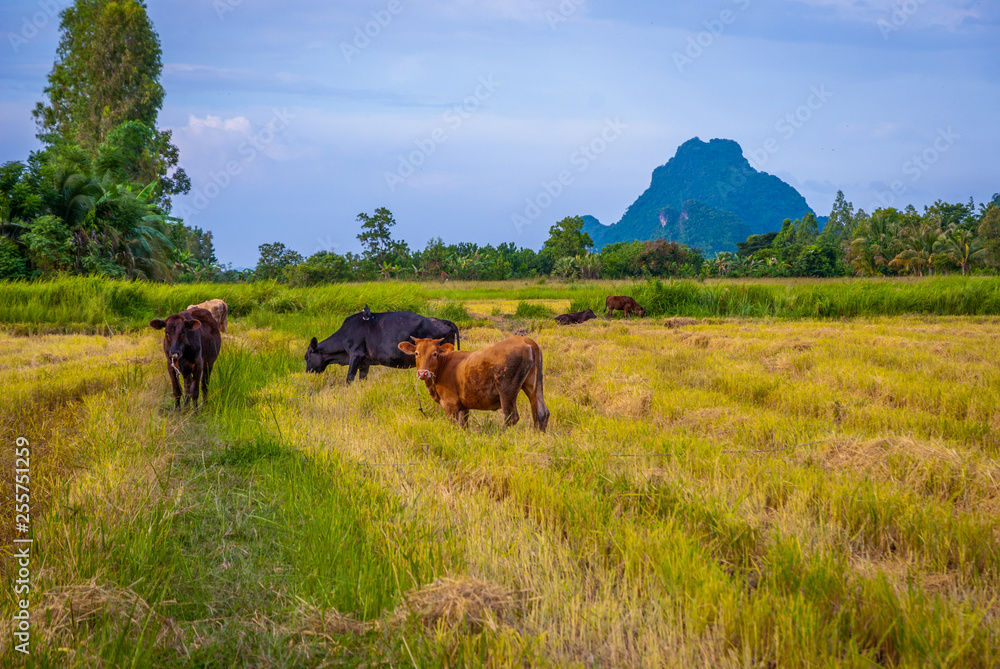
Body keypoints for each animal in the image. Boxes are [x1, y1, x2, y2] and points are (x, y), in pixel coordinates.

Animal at [304, 306, 460, 384]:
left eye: (307, 357)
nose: (307, 372)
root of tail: (442, 321)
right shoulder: (364, 362)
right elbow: (362, 379)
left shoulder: (355, 355)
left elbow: (349, 378)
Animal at [398, 336, 552, 430]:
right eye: (416, 353)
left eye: (434, 353)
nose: (423, 373)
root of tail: (524, 339)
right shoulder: (463, 406)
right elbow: (463, 425)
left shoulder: (450, 404)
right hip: (533, 384)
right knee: (541, 412)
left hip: (507, 390)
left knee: (511, 417)